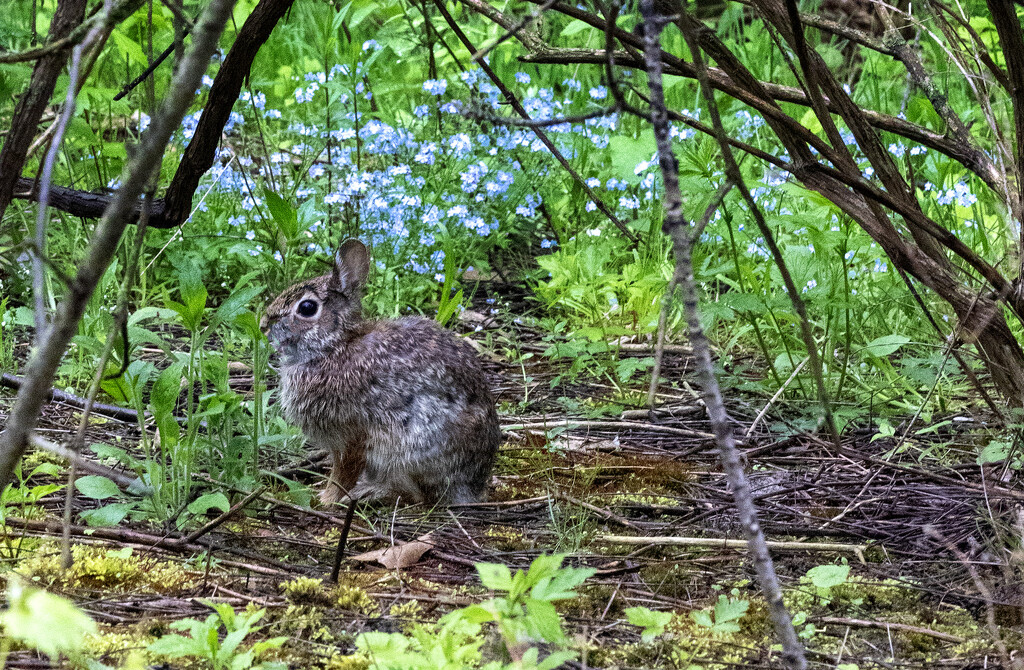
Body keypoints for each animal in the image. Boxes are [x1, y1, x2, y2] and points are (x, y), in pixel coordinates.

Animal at [262, 238, 501, 506]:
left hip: (411, 450)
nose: (263, 325)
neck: (334, 345)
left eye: (306, 307)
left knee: (418, 496)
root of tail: (474, 486)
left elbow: (343, 472)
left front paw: (327, 499)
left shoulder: (351, 435)